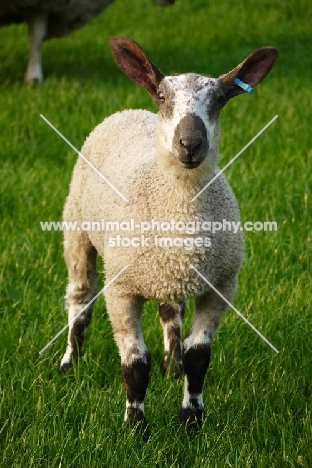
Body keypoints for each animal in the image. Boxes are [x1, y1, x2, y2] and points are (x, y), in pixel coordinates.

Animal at [59, 37, 278, 436]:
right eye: (162, 96)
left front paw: (191, 420)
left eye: (220, 99)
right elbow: (134, 364)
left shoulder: (220, 286)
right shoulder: (121, 290)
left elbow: (199, 357)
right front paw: (136, 428)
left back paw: (171, 367)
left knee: (169, 310)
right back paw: (69, 362)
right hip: (77, 228)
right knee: (80, 297)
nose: (189, 143)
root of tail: (129, 110)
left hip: (167, 275)